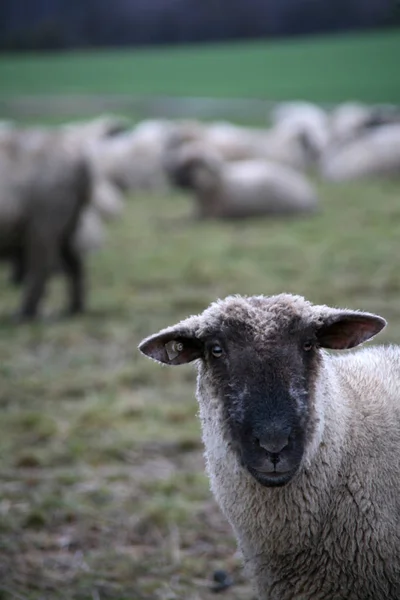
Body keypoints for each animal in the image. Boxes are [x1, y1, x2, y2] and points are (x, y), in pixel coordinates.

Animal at [0, 129, 91, 322]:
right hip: (68, 219)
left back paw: (23, 314)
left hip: (45, 213)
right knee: (73, 258)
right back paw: (74, 308)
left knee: (40, 264)